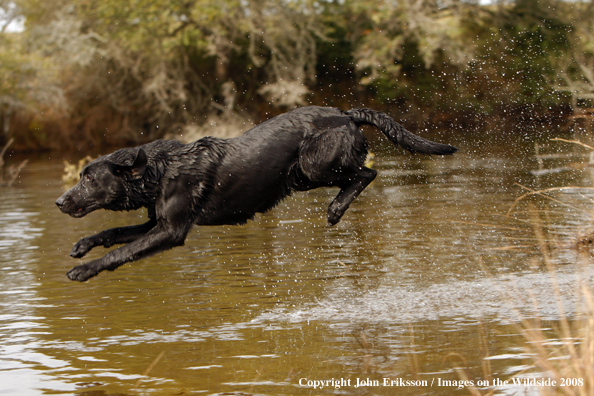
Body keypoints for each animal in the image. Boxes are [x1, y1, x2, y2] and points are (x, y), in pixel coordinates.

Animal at [56, 106, 454, 282]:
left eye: (88, 179)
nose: (59, 201)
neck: (160, 170)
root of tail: (346, 114)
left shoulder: (171, 230)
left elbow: (121, 252)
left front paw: (84, 269)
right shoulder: (156, 221)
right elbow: (114, 233)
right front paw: (82, 246)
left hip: (311, 168)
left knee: (367, 172)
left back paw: (336, 209)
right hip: (302, 177)